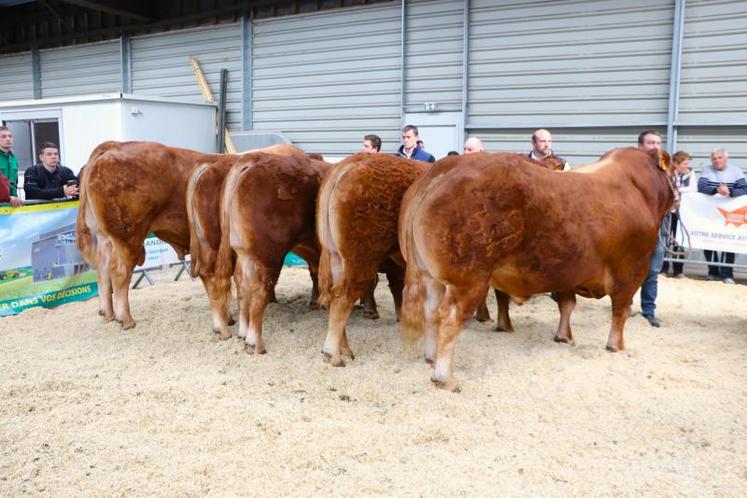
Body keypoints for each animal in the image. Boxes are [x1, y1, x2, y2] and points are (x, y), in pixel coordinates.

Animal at [400, 150, 676, 392]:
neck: (639, 190)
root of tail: (446, 168)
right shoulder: (632, 270)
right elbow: (621, 311)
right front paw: (616, 345)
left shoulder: (567, 272)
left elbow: (567, 305)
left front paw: (564, 336)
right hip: (469, 279)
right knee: (449, 317)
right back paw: (444, 377)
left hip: (430, 277)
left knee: (430, 312)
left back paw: (430, 357)